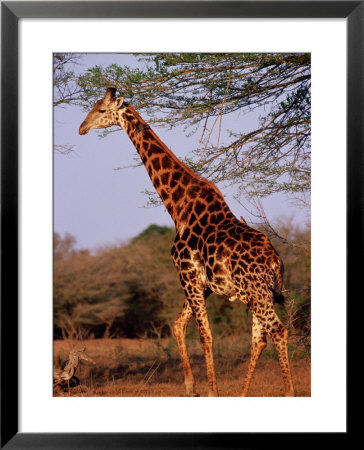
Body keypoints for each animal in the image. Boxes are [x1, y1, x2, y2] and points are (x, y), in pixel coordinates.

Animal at [78, 88, 294, 398]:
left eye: (101, 110)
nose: (81, 128)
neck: (177, 206)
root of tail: (275, 261)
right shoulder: (203, 285)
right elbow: (179, 325)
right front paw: (191, 386)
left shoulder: (187, 275)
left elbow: (204, 334)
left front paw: (211, 391)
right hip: (257, 292)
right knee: (259, 337)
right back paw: (242, 393)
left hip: (256, 291)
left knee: (276, 330)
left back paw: (288, 391)